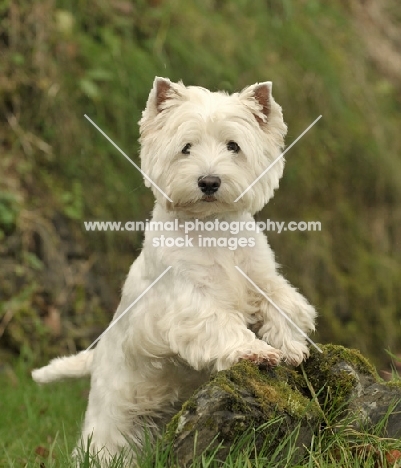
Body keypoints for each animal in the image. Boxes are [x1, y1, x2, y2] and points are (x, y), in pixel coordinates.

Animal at [32, 77, 316, 464]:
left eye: (233, 146)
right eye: (186, 148)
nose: (209, 182)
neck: (211, 229)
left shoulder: (260, 278)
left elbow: (284, 303)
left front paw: (290, 346)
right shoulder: (186, 302)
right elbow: (218, 322)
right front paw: (254, 351)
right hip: (114, 415)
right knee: (103, 444)